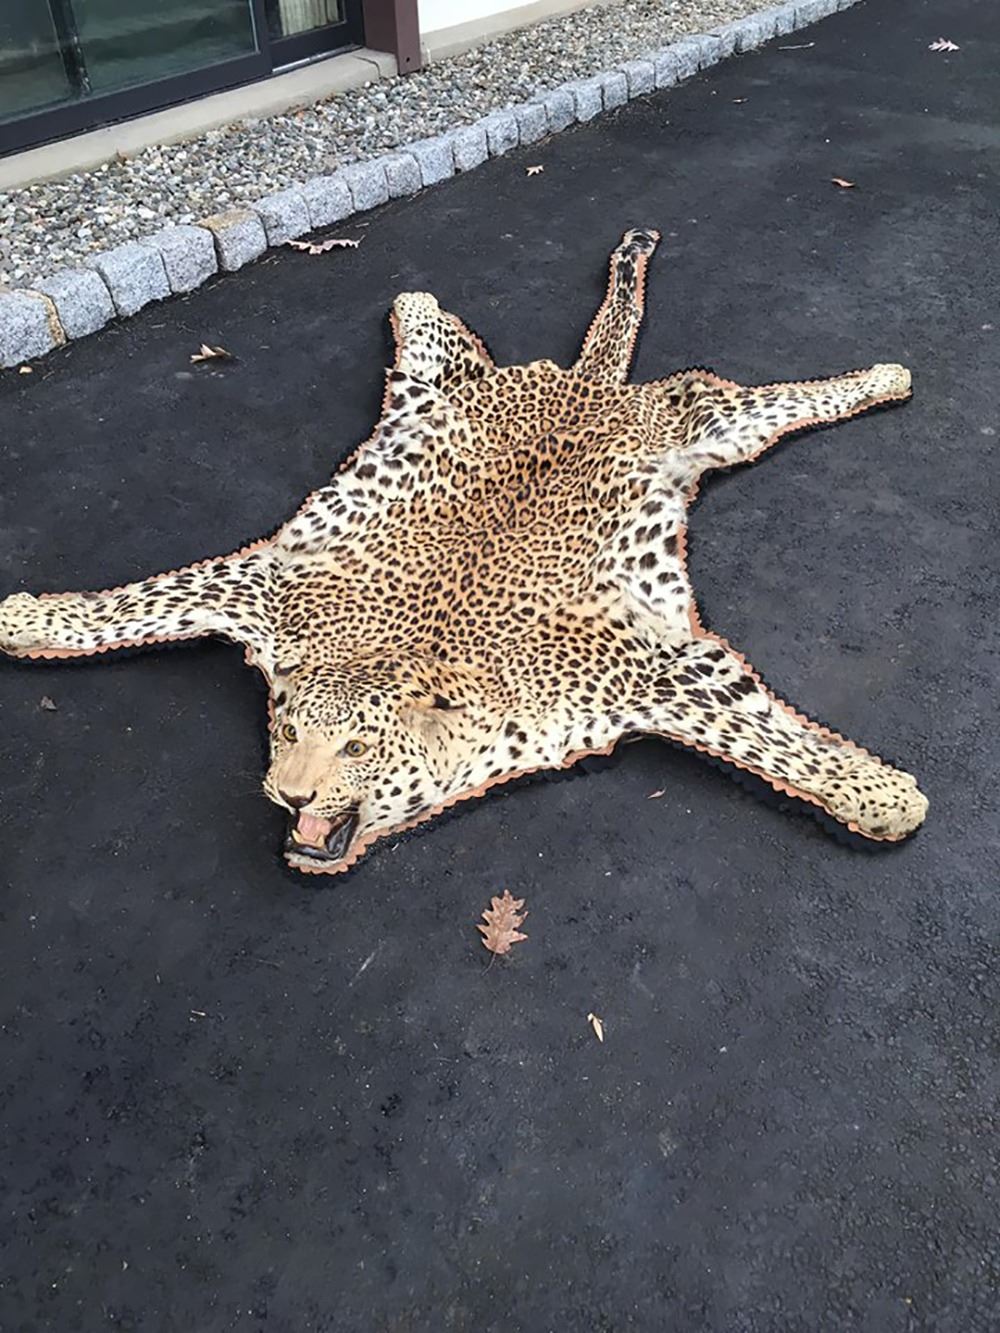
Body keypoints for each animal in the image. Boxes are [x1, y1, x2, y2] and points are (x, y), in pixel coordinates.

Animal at [0, 228, 928, 875]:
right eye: (288, 729)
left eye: (357, 750)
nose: (289, 792)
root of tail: (588, 383)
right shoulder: (267, 585)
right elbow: (128, 607)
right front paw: (29, 615)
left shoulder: (653, 670)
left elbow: (782, 747)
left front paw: (885, 793)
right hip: (437, 386)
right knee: (436, 329)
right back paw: (423, 297)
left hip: (701, 420)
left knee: (773, 398)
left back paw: (886, 376)